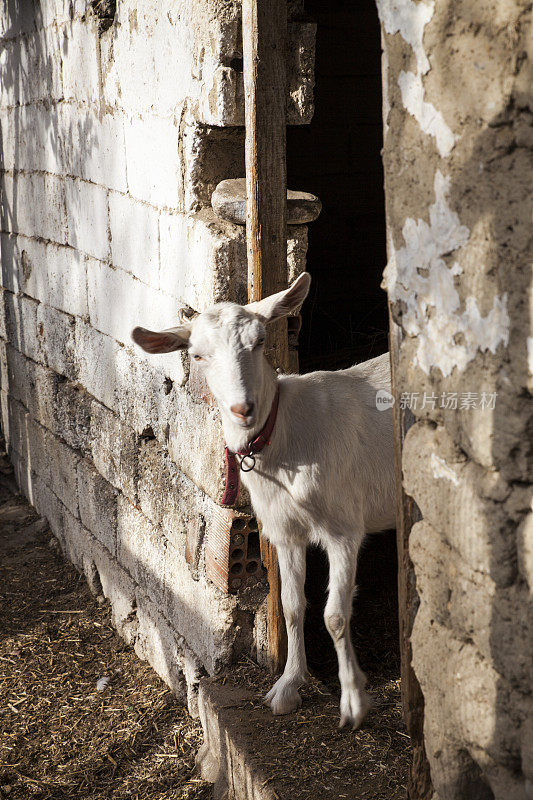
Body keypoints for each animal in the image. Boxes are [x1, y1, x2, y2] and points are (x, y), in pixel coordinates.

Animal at [132, 272, 394, 728]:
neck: (286, 433)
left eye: (258, 342)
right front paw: (288, 687)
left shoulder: (344, 526)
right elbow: (291, 605)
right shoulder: (284, 529)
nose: (243, 408)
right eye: (197, 355)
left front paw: (353, 702)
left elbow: (335, 615)